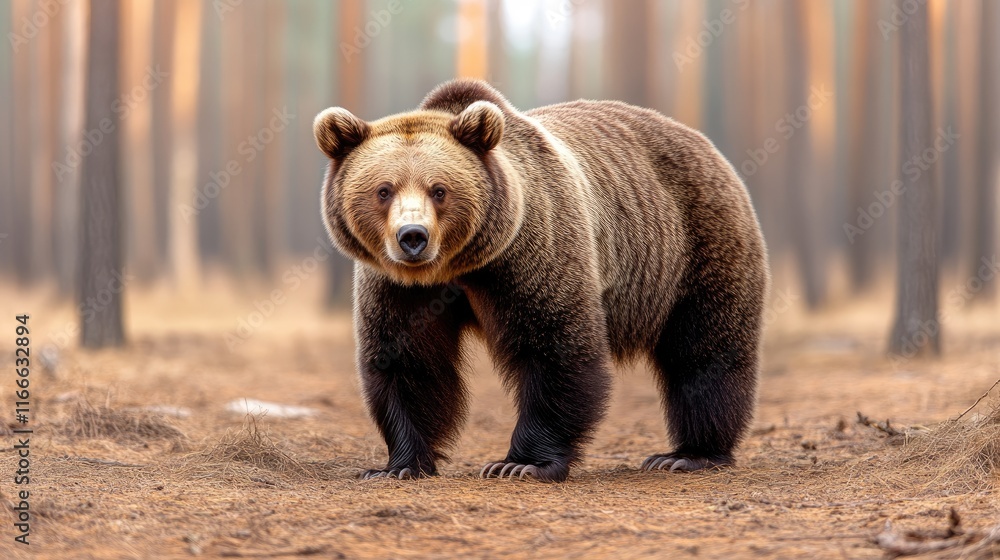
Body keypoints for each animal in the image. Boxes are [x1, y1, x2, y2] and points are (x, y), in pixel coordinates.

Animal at [313, 79, 768, 482]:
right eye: (383, 190)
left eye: (439, 189)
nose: (413, 237)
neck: (458, 267)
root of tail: (704, 142)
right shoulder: (397, 286)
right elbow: (407, 361)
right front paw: (397, 465)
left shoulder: (532, 251)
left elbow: (555, 348)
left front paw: (519, 463)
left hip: (695, 244)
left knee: (705, 348)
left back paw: (688, 454)